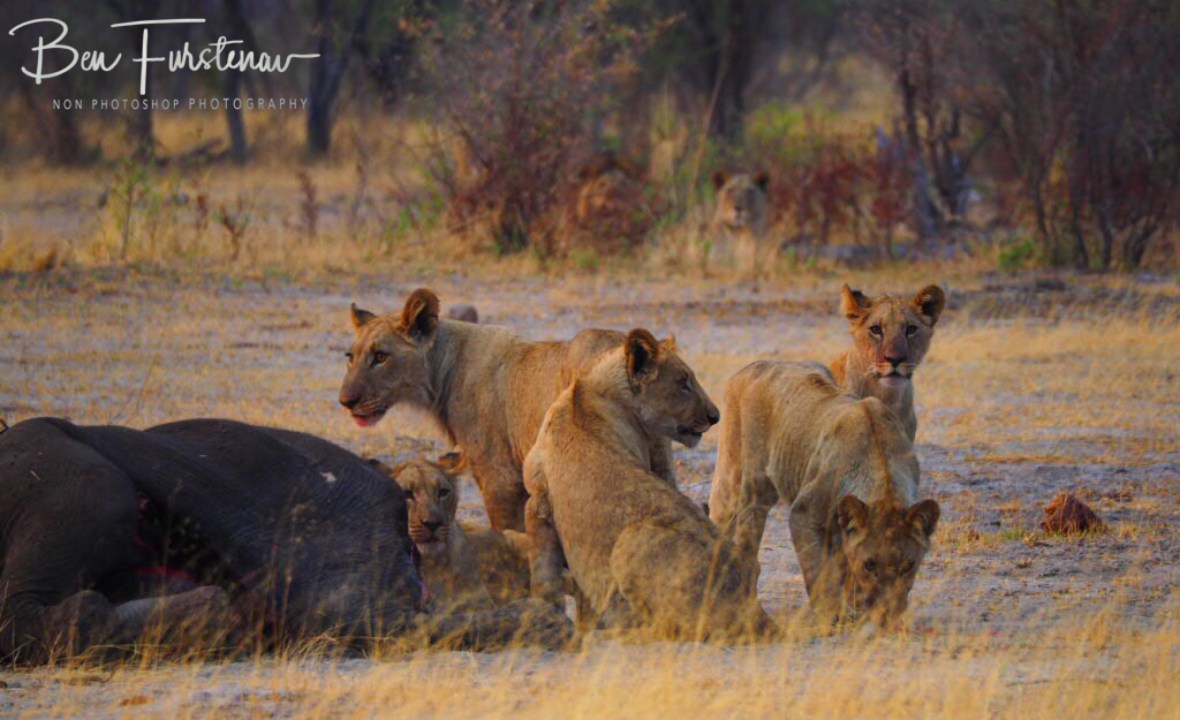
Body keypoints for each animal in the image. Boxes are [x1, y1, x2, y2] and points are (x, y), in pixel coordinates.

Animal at [339, 288, 679, 533]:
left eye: (381, 356)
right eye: (350, 356)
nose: (345, 401)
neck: (442, 371)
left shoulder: (499, 477)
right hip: (659, 461)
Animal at [525, 330, 775, 640]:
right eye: (683, 383)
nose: (715, 416)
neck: (589, 390)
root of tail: (752, 607)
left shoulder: (537, 499)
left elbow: (545, 574)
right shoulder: (539, 501)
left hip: (632, 540)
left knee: (670, 629)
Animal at [708, 361, 940, 631]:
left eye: (908, 565)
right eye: (869, 564)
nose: (886, 614)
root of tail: (756, 365)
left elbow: (842, 563)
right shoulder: (803, 513)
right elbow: (818, 571)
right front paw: (831, 616)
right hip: (746, 480)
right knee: (739, 528)